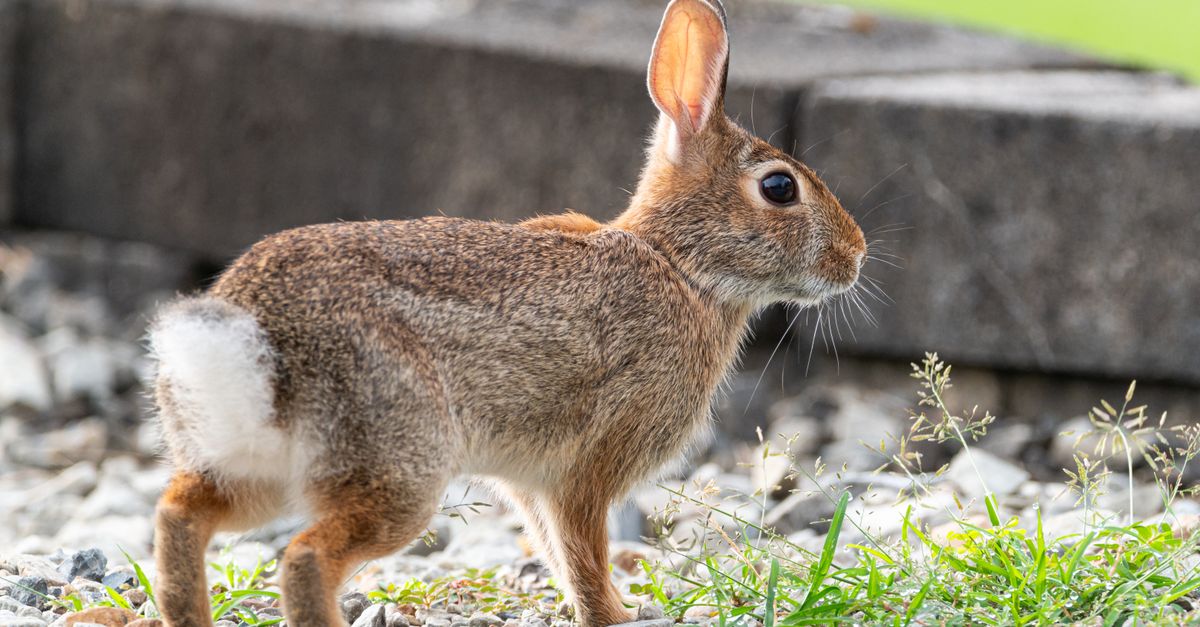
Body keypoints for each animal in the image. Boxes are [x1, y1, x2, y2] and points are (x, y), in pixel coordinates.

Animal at [147, 0, 866, 625]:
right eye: (779, 187)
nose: (855, 255)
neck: (679, 263)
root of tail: (248, 335)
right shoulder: (588, 468)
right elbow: (583, 552)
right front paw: (616, 615)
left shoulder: (531, 482)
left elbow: (553, 548)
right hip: (397, 461)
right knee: (305, 557)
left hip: (251, 465)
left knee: (180, 515)